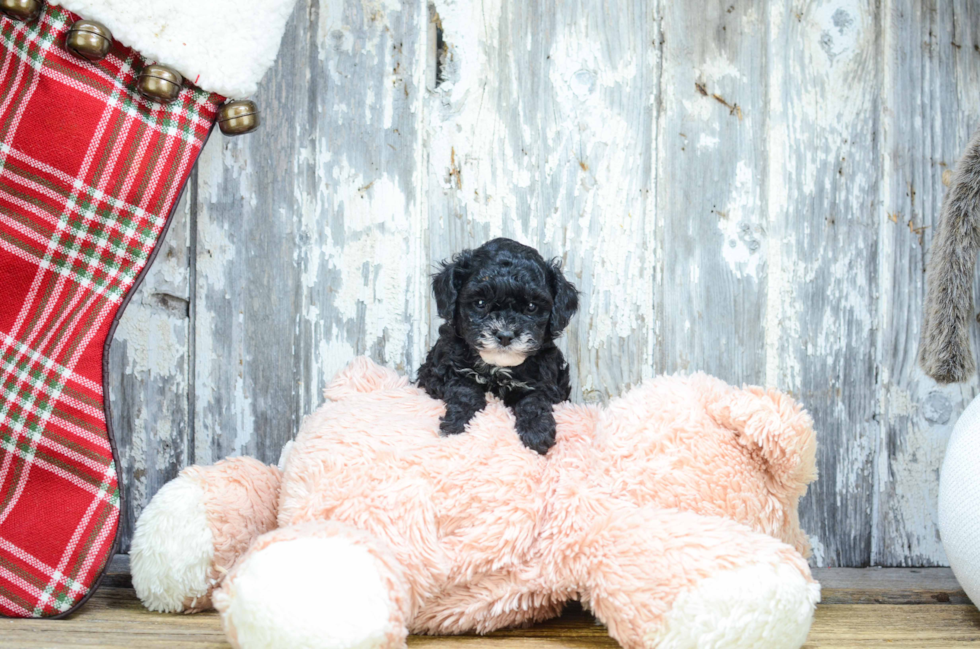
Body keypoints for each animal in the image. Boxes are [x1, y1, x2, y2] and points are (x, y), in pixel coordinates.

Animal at [418, 235, 580, 454]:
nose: (504, 335)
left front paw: (537, 433)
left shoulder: (544, 381)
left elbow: (534, 401)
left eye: (531, 307)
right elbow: (465, 391)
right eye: (480, 303)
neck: (497, 368)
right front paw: (457, 424)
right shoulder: (442, 371)